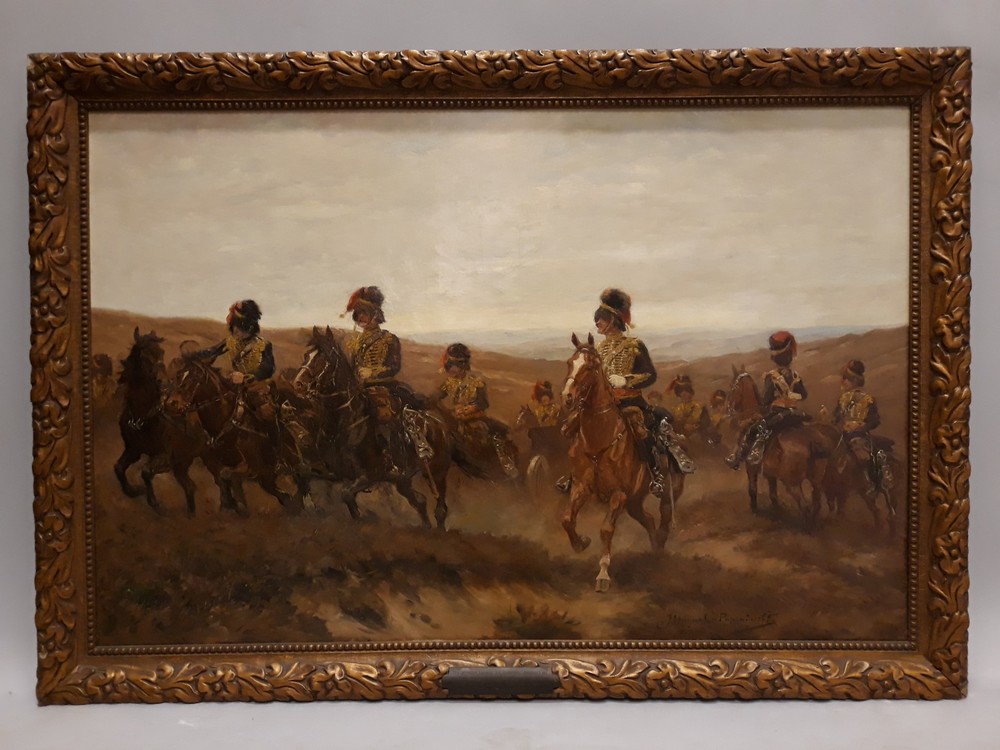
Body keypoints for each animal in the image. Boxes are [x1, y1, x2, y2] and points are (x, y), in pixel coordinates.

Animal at [112, 328, 200, 515]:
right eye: (144, 357)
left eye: (161, 353)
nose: (164, 381)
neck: (143, 417)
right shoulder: (134, 450)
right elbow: (118, 468)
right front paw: (133, 491)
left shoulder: (166, 458)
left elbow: (146, 472)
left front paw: (153, 501)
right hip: (181, 465)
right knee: (190, 486)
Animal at [165, 347, 302, 516]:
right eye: (178, 375)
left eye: (195, 377)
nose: (171, 404)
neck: (225, 423)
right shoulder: (212, 462)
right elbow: (221, 478)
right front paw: (230, 504)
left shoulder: (252, 468)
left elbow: (229, 475)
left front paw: (237, 504)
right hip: (267, 478)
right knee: (282, 494)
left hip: (288, 467)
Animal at [291, 326, 454, 529]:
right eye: (307, 355)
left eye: (323, 358)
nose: (297, 384)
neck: (344, 423)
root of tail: (439, 424)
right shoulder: (332, 471)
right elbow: (302, 474)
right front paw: (307, 504)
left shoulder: (370, 475)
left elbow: (346, 494)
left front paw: (361, 521)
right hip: (402, 480)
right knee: (420, 501)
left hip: (437, 472)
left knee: (440, 509)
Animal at [560, 333, 684, 592]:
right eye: (569, 363)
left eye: (590, 366)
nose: (567, 397)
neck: (598, 439)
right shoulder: (581, 487)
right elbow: (567, 519)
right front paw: (580, 543)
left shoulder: (619, 493)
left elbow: (606, 529)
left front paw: (603, 574)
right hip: (634, 501)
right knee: (648, 519)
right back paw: (653, 550)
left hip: (667, 491)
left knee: (664, 518)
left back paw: (659, 552)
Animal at [725, 365, 839, 524]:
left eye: (732, 387)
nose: (728, 407)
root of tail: (812, 441)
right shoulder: (770, 473)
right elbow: (773, 495)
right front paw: (777, 513)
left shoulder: (751, 466)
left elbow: (752, 489)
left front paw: (755, 510)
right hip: (816, 480)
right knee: (816, 503)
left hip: (792, 484)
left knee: (805, 507)